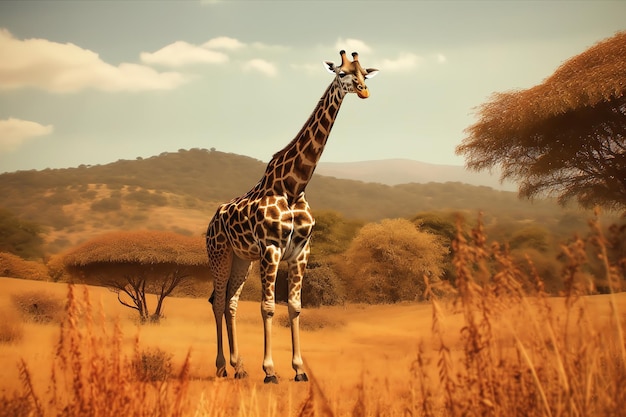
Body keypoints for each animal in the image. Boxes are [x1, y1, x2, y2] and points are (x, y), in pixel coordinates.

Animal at [205, 50, 376, 382]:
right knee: (217, 301)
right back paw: (220, 366)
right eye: (341, 73)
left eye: (363, 72)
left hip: (242, 258)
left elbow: (295, 307)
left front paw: (299, 369)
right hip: (219, 253)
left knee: (231, 301)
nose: (364, 91)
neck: (294, 186)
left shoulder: (300, 251)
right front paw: (270, 370)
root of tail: (210, 222)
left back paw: (239, 366)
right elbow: (268, 307)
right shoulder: (271, 249)